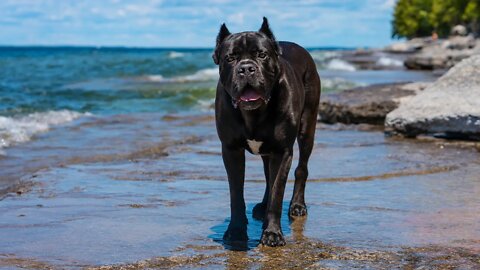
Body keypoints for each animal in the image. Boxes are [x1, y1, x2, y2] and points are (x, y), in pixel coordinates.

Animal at [213, 17, 318, 247]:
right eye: (230, 58)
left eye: (262, 55)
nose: (246, 68)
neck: (254, 114)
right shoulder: (231, 150)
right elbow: (236, 194)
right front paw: (236, 231)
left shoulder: (282, 151)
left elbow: (277, 193)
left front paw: (272, 233)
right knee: (268, 176)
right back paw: (262, 206)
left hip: (308, 128)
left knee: (301, 169)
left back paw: (297, 205)